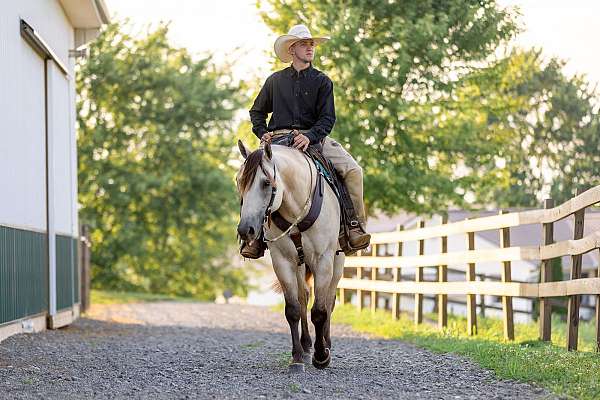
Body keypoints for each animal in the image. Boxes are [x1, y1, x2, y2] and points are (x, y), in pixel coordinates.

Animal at [237, 140, 344, 372]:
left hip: (337, 261)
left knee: (329, 299)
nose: (245, 230)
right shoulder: (282, 261)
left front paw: (321, 356)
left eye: (266, 183)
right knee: (304, 296)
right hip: (300, 264)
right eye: (239, 182)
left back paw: (326, 343)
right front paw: (297, 357)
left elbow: (320, 310)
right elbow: (293, 309)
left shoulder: (323, 260)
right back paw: (306, 346)